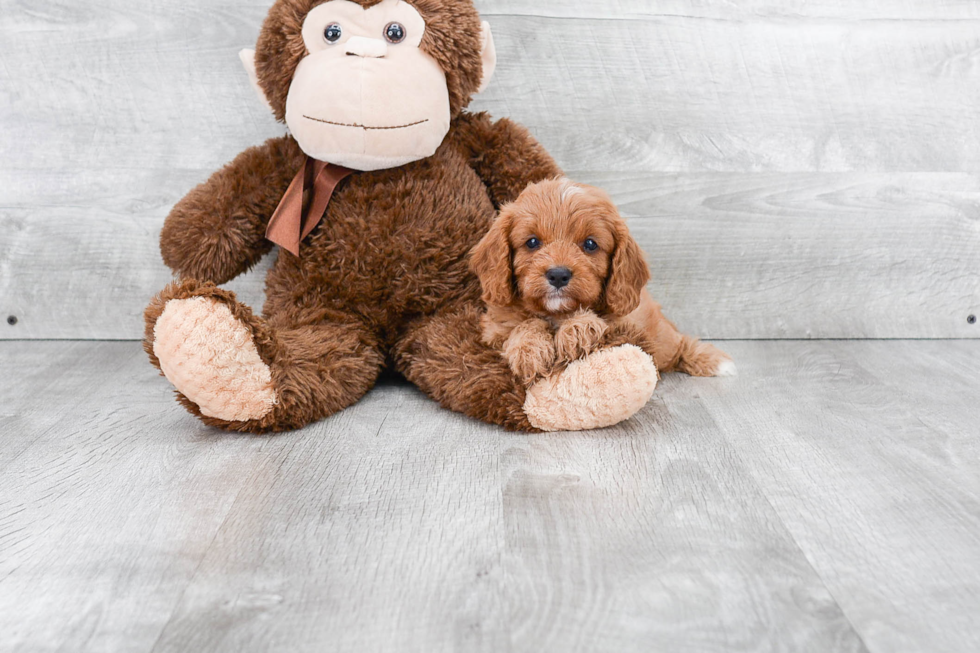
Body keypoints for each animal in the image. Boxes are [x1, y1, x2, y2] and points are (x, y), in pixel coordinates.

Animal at [468, 176, 736, 384]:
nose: (558, 275)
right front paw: (529, 351)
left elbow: (598, 319)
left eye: (590, 244)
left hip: (661, 339)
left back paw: (713, 361)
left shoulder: (626, 322)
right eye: (532, 242)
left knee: (680, 344)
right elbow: (523, 324)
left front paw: (576, 331)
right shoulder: (495, 329)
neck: (556, 314)